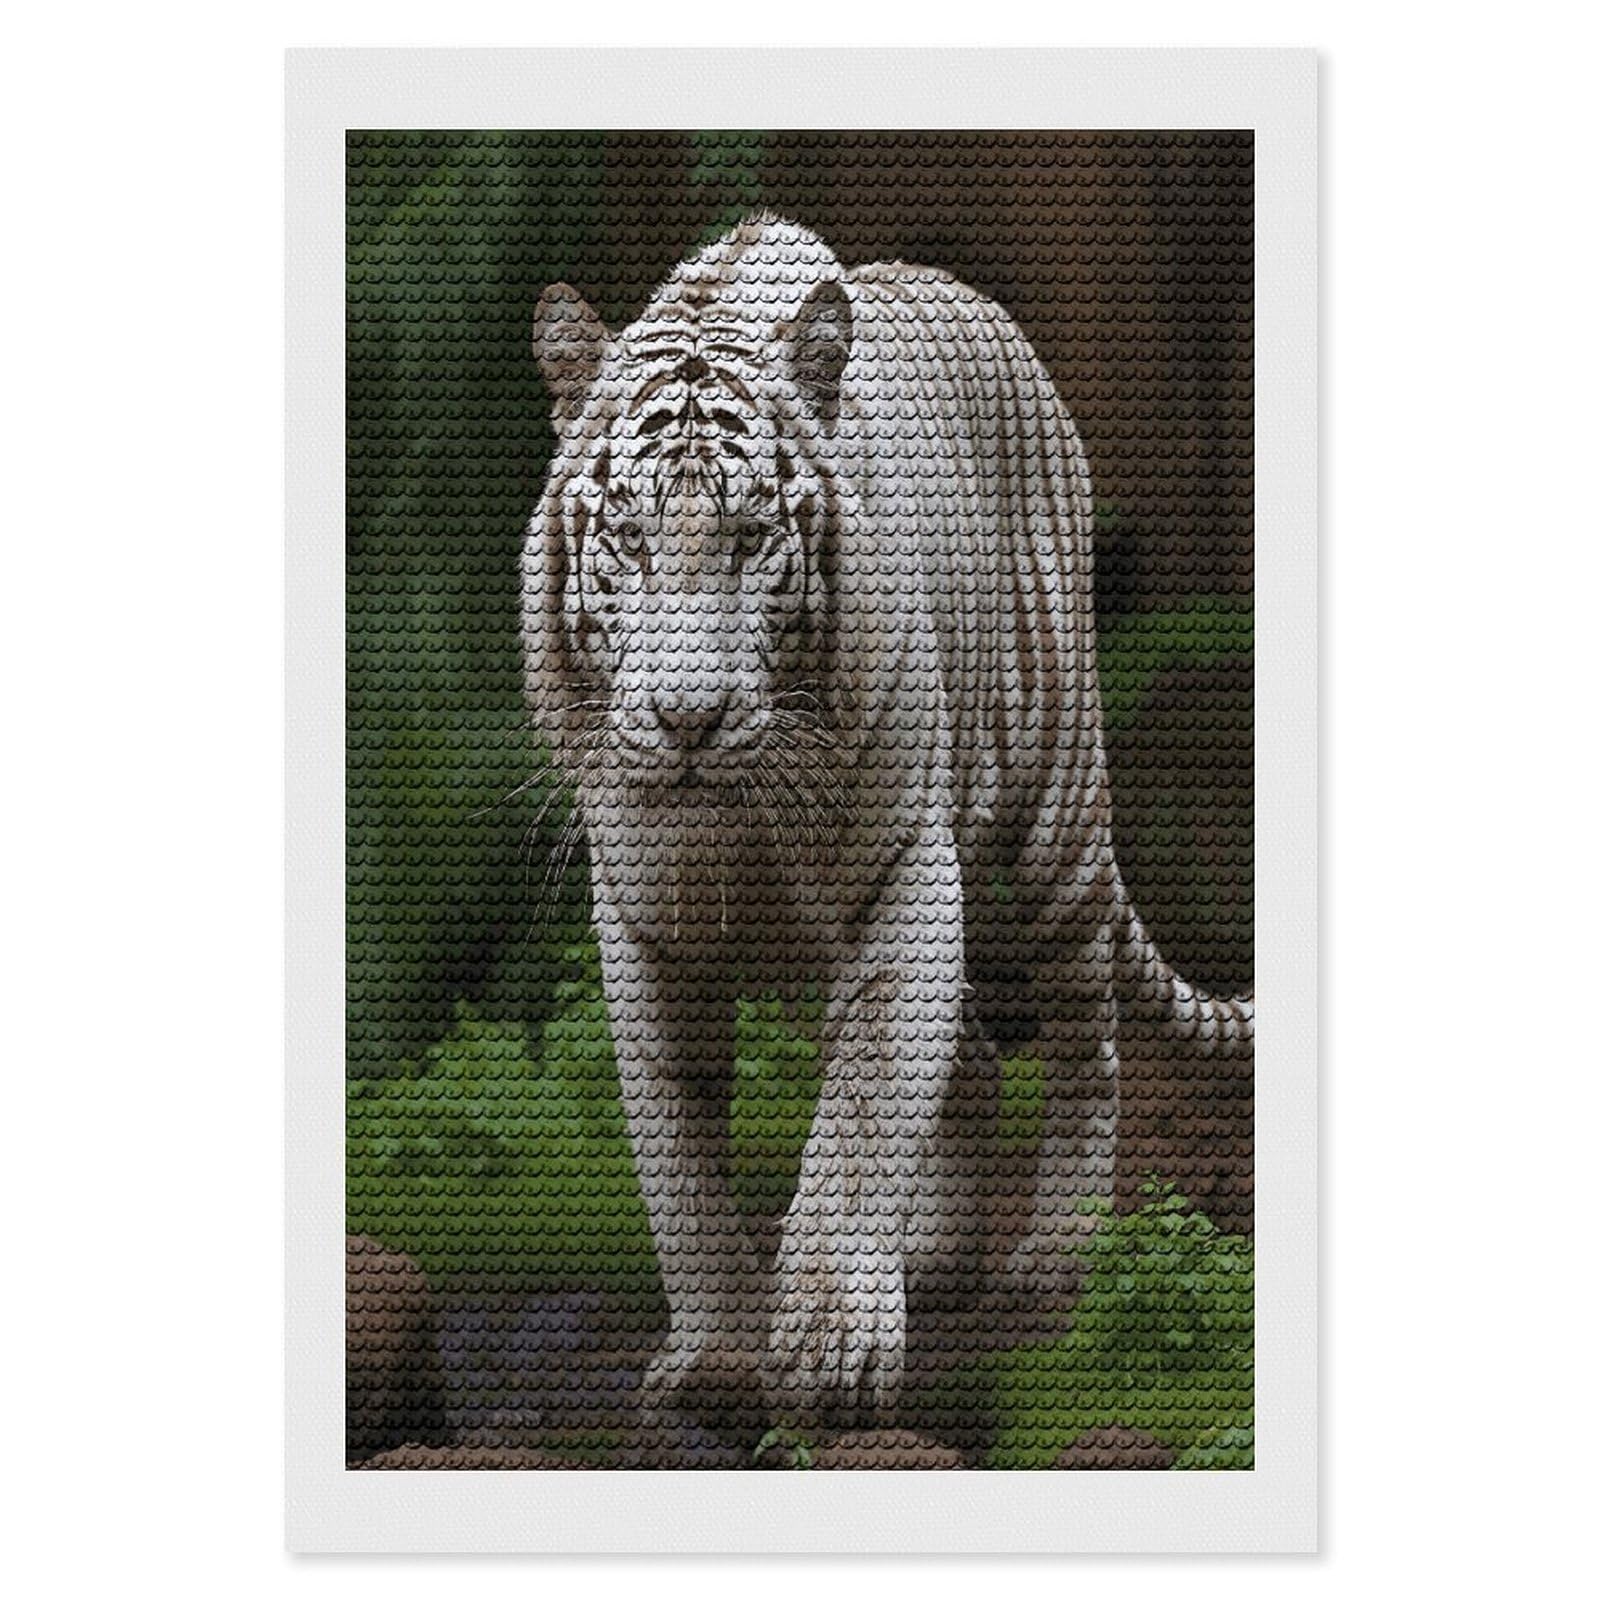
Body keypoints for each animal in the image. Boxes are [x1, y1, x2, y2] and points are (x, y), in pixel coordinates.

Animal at [522, 212, 1252, 1438]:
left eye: (750, 538)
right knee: (975, 1059)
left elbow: (861, 1116)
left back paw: (1053, 1262)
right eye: (627, 537)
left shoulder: (902, 871)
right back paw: (938, 1257)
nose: (687, 720)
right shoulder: (644, 921)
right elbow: (677, 1147)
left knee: (1084, 1045)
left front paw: (830, 1352)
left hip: (1050, 825)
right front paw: (720, 1360)